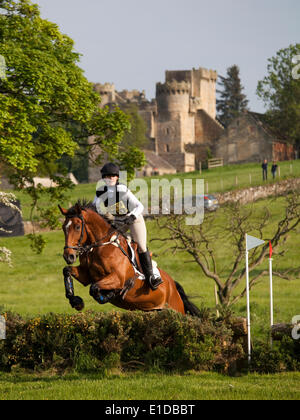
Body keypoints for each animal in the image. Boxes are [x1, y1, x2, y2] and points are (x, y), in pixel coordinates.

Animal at [58, 200, 200, 316]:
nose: (68, 256)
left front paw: (111, 293)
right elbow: (67, 271)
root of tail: (173, 286)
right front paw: (76, 301)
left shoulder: (118, 278)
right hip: (156, 310)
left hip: (176, 309)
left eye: (77, 227)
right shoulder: (86, 276)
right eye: (63, 228)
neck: (99, 246)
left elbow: (94, 288)